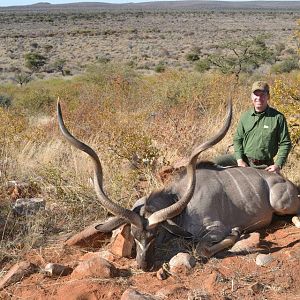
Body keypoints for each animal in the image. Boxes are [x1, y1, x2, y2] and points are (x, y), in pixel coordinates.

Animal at [56, 99, 300, 270]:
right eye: (134, 235)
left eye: (155, 235)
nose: (143, 266)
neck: (182, 202)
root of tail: (288, 183)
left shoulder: (216, 228)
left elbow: (202, 249)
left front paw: (237, 233)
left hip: (281, 204)